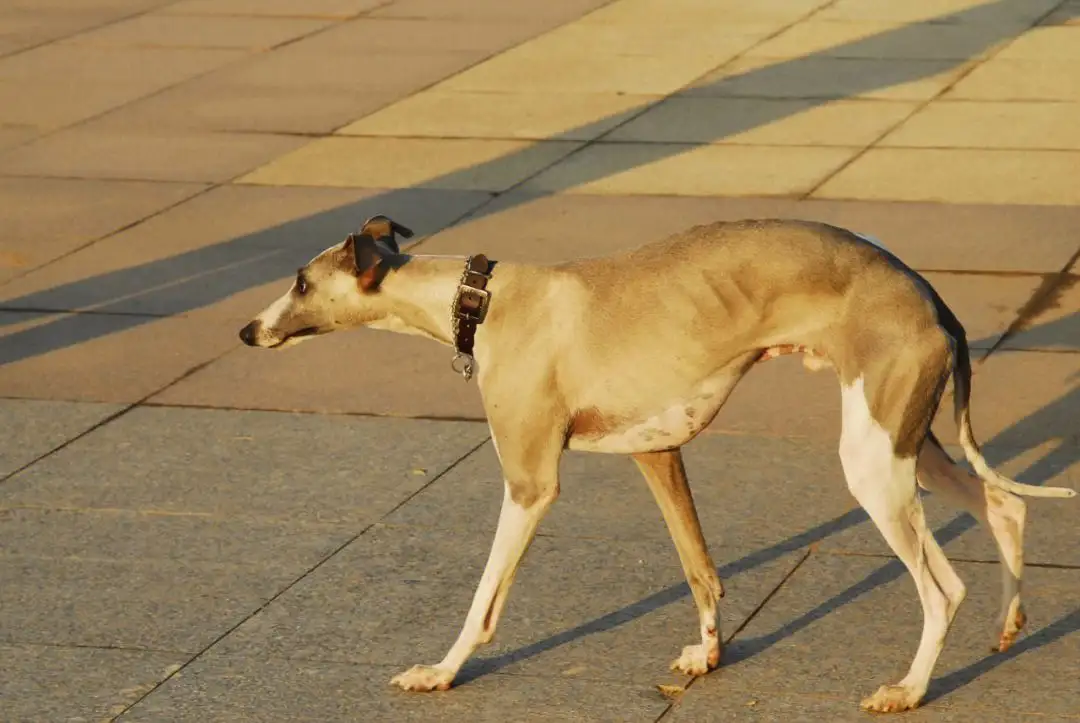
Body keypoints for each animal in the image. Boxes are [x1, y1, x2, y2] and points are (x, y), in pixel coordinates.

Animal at [240, 213, 1075, 708]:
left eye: (301, 281)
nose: (248, 331)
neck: (478, 299)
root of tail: (932, 297)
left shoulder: (530, 482)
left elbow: (483, 599)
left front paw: (441, 670)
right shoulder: (658, 453)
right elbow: (700, 569)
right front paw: (707, 656)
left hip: (873, 463)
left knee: (944, 587)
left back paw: (908, 688)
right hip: (904, 442)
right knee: (1003, 502)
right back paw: (1009, 623)